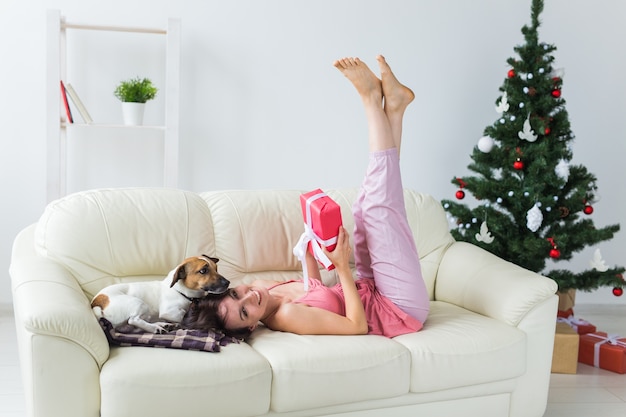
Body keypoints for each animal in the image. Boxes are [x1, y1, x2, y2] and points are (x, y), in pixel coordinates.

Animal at [90, 254, 229, 332]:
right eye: (203, 271)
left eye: (216, 269)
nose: (228, 282)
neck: (180, 291)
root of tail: (96, 302)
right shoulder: (169, 311)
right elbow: (183, 315)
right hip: (139, 303)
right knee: (133, 320)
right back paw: (156, 328)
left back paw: (163, 325)